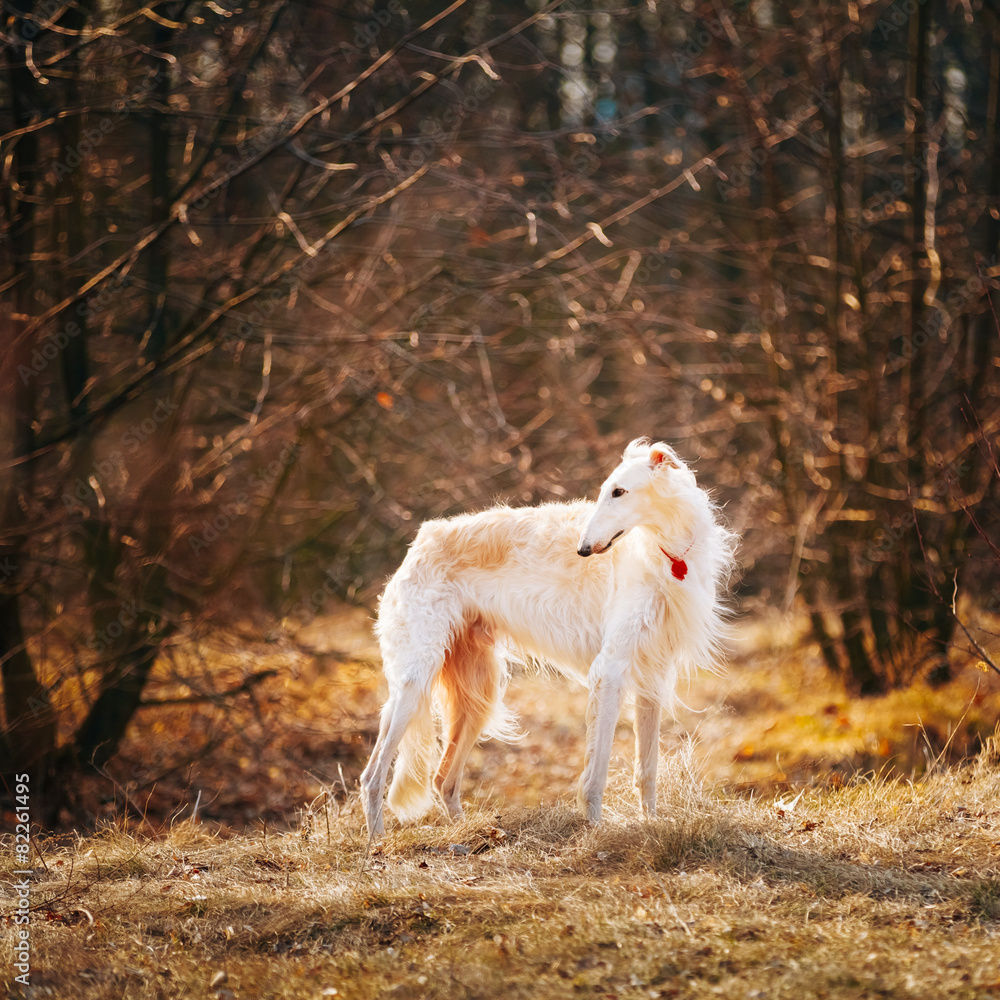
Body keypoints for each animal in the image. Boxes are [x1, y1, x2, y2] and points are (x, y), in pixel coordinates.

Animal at [360, 438, 736, 836]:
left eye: (619, 492)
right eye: (605, 491)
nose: (583, 550)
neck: (665, 551)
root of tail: (420, 541)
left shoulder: (652, 675)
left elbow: (646, 769)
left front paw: (651, 824)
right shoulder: (609, 670)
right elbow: (596, 774)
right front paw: (596, 830)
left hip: (479, 692)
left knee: (443, 778)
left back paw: (467, 831)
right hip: (415, 681)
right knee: (373, 777)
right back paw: (378, 842)